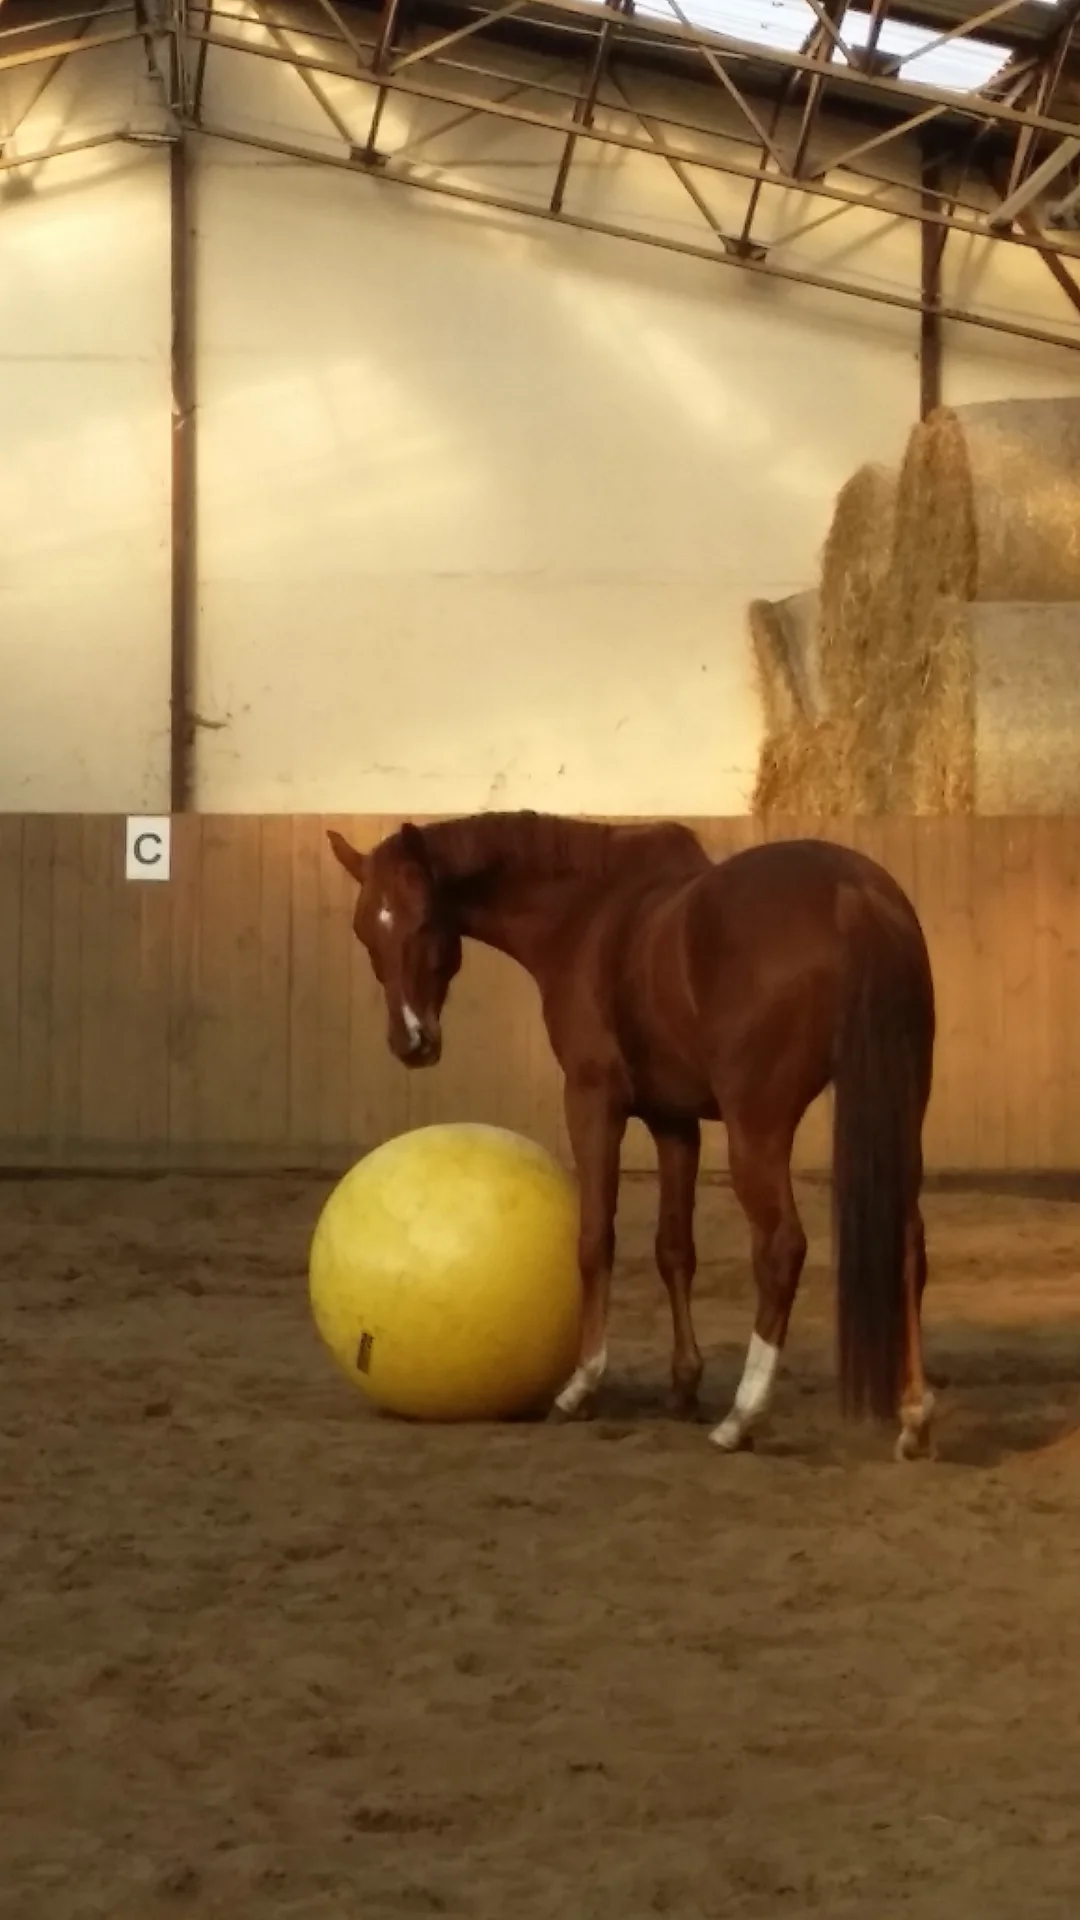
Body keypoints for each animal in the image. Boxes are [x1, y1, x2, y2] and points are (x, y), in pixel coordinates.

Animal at [327, 810, 937, 1461]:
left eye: (423, 918)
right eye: (366, 930)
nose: (411, 1041)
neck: (590, 914)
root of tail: (853, 893)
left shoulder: (594, 1101)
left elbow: (596, 1239)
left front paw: (582, 1386)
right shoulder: (674, 1122)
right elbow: (675, 1250)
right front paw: (685, 1385)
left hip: (758, 1128)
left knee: (781, 1248)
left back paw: (742, 1416)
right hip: (898, 1111)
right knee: (907, 1242)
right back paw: (913, 1417)